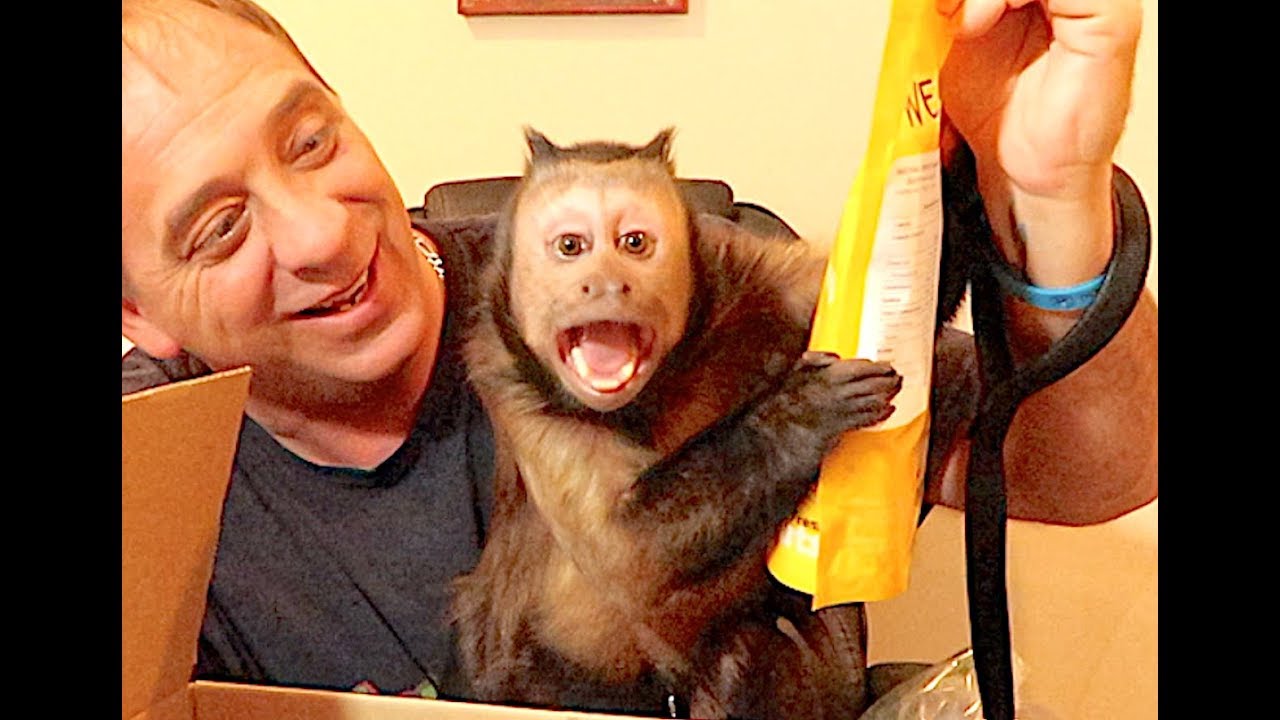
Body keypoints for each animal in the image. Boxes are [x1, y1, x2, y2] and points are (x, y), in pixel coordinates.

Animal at [451, 127, 905, 719]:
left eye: (633, 243)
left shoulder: (742, 265)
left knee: (742, 652)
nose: (605, 283)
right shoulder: (506, 378)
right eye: (572, 247)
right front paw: (805, 410)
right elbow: (629, 555)